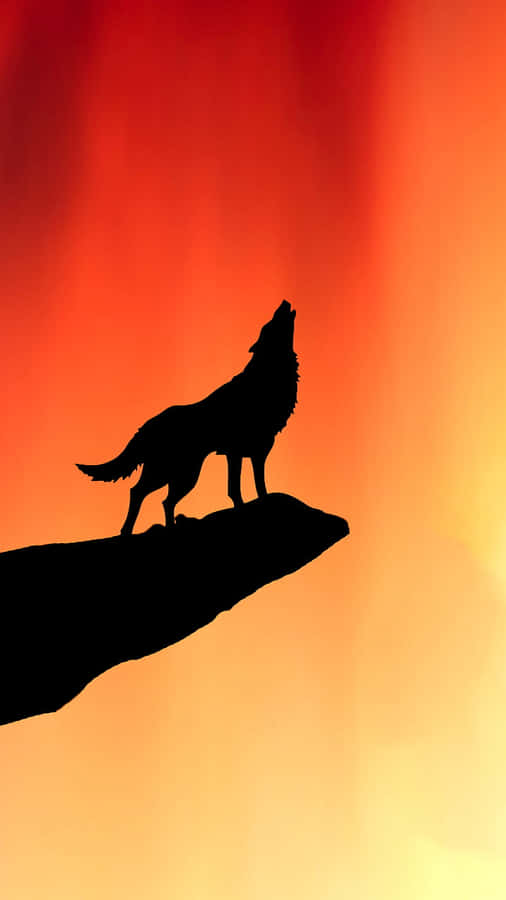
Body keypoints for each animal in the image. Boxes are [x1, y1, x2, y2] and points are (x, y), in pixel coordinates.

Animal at [77, 300, 298, 535]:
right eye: (269, 325)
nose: (284, 302)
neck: (264, 378)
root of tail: (147, 425)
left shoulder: (255, 453)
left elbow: (254, 487)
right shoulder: (238, 453)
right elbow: (240, 489)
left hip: (182, 475)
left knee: (165, 501)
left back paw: (170, 527)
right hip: (172, 473)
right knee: (138, 492)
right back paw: (127, 531)